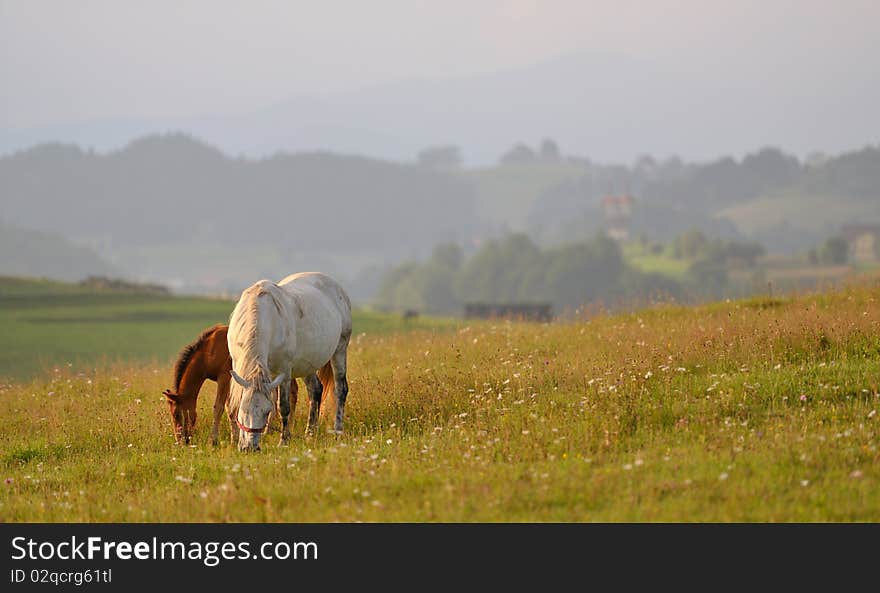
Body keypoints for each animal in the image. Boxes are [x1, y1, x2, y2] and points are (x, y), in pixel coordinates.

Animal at [225, 272, 352, 448]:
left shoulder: (284, 371)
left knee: (340, 389)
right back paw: (310, 433)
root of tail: (339, 289)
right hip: (308, 364)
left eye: (266, 411)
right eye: (243, 410)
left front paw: (283, 441)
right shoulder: (240, 365)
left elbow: (283, 406)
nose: (250, 448)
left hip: (340, 349)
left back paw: (338, 431)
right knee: (315, 390)